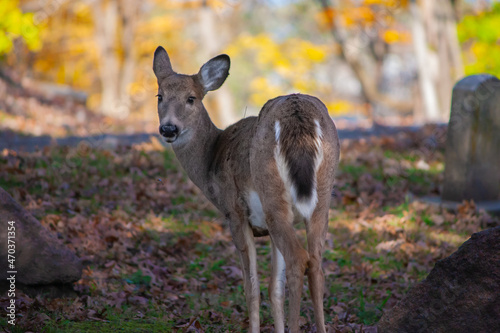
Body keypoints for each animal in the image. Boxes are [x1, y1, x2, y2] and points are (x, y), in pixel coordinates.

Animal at [152, 46, 340, 332]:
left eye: (191, 98)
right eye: (159, 95)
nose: (169, 128)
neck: (211, 159)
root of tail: (299, 117)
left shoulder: (236, 213)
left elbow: (251, 288)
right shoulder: (267, 228)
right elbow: (275, 288)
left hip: (272, 195)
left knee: (299, 259)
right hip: (322, 199)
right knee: (316, 263)